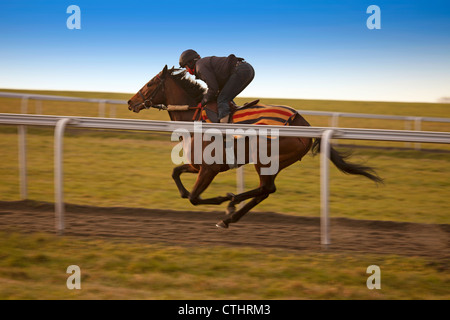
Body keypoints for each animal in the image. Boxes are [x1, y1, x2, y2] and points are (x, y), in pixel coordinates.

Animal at [127, 65, 384, 229]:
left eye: (150, 83)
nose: (130, 102)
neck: (195, 117)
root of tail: (305, 124)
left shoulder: (209, 169)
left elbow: (193, 197)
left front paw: (222, 198)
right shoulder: (197, 165)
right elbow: (176, 175)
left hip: (266, 158)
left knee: (265, 188)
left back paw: (231, 205)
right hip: (275, 163)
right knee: (266, 190)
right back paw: (229, 216)